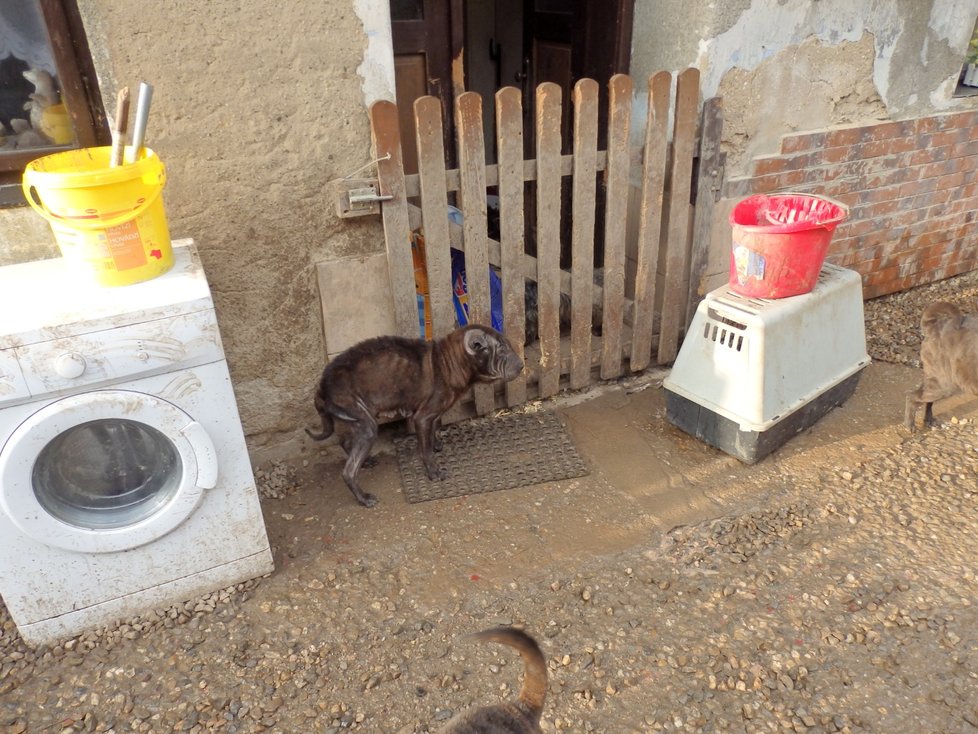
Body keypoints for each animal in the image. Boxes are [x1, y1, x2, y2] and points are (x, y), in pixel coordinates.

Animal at [304, 326, 524, 506]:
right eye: (501, 350)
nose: (522, 365)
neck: (447, 362)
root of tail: (322, 387)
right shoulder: (422, 417)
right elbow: (424, 450)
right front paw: (433, 472)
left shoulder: (432, 416)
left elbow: (433, 431)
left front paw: (436, 445)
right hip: (367, 425)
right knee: (348, 471)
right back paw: (363, 498)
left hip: (359, 420)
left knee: (345, 442)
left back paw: (364, 462)